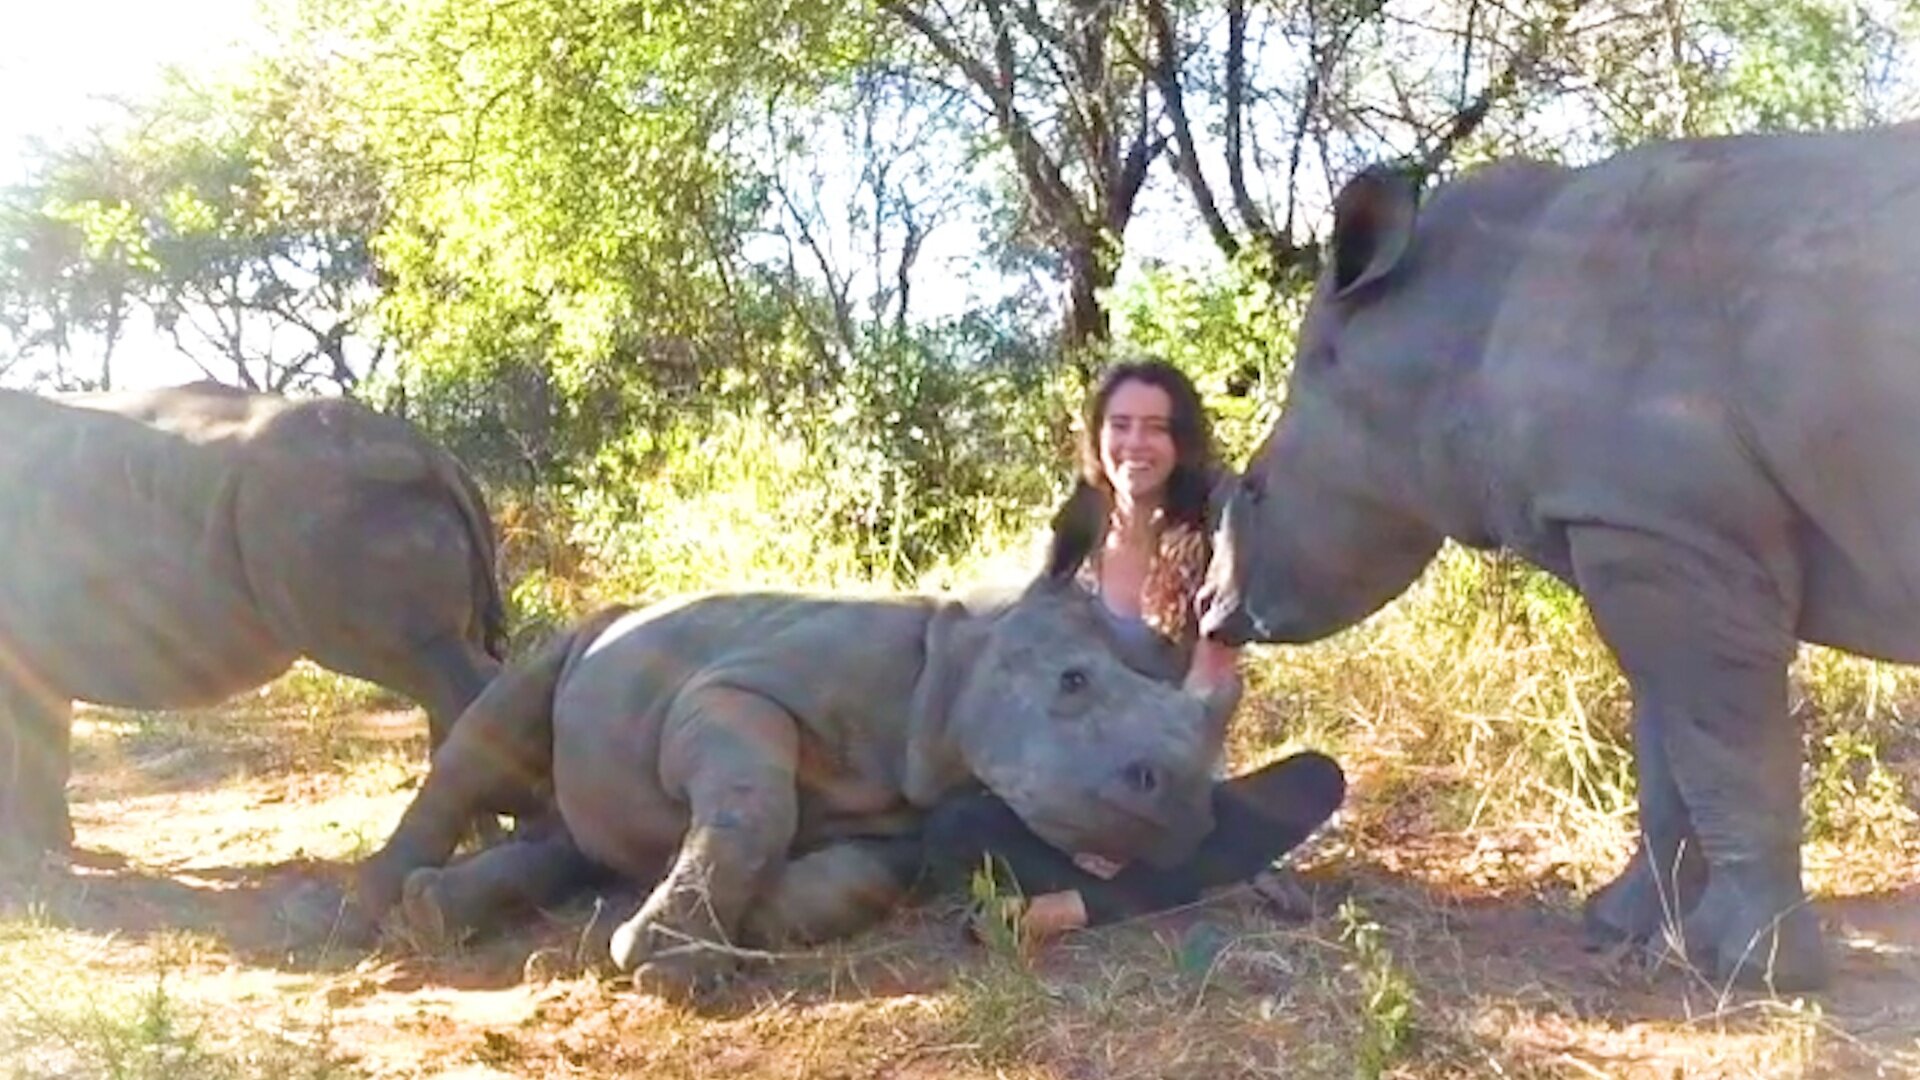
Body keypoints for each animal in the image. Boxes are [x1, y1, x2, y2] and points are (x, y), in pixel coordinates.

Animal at [0, 381, 505, 859]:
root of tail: (436, 456)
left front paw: (28, 853)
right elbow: (42, 732)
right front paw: (50, 844)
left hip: (338, 501)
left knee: (424, 659)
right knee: (440, 668)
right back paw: (469, 844)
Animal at [353, 578, 1235, 997]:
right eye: (1072, 683)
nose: (1185, 809)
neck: (961, 659)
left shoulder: (904, 812)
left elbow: (854, 878)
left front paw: (747, 924)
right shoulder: (734, 691)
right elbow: (758, 806)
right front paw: (668, 967)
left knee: (581, 833)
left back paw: (434, 914)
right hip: (584, 631)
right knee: (493, 727)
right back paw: (378, 908)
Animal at [1199, 122, 1920, 993]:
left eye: (1257, 491)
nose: (1205, 610)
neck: (1445, 326)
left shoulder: (1668, 531)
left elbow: (1725, 745)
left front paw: (1753, 972)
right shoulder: (1638, 526)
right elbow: (1667, 742)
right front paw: (1621, 927)